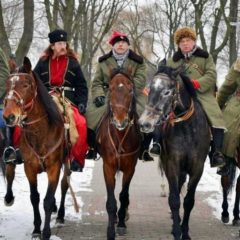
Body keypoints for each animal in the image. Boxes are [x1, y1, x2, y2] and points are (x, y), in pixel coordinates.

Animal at [2, 56, 71, 240]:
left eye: (26, 84)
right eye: (8, 83)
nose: (8, 116)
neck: (41, 132)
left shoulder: (54, 167)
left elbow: (48, 199)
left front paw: (46, 232)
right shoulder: (30, 168)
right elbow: (35, 197)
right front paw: (36, 229)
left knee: (64, 185)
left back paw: (60, 215)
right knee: (10, 171)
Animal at [95, 68, 141, 240]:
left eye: (130, 89)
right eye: (110, 88)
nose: (120, 120)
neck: (120, 136)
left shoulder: (130, 168)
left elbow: (123, 196)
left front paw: (121, 224)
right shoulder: (108, 167)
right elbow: (111, 200)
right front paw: (110, 230)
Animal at [138, 64, 211, 240]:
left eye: (167, 91)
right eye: (150, 89)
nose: (144, 123)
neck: (188, 128)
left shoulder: (197, 168)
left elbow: (189, 201)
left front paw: (185, 231)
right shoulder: (172, 164)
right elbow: (174, 199)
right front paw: (177, 230)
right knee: (175, 190)